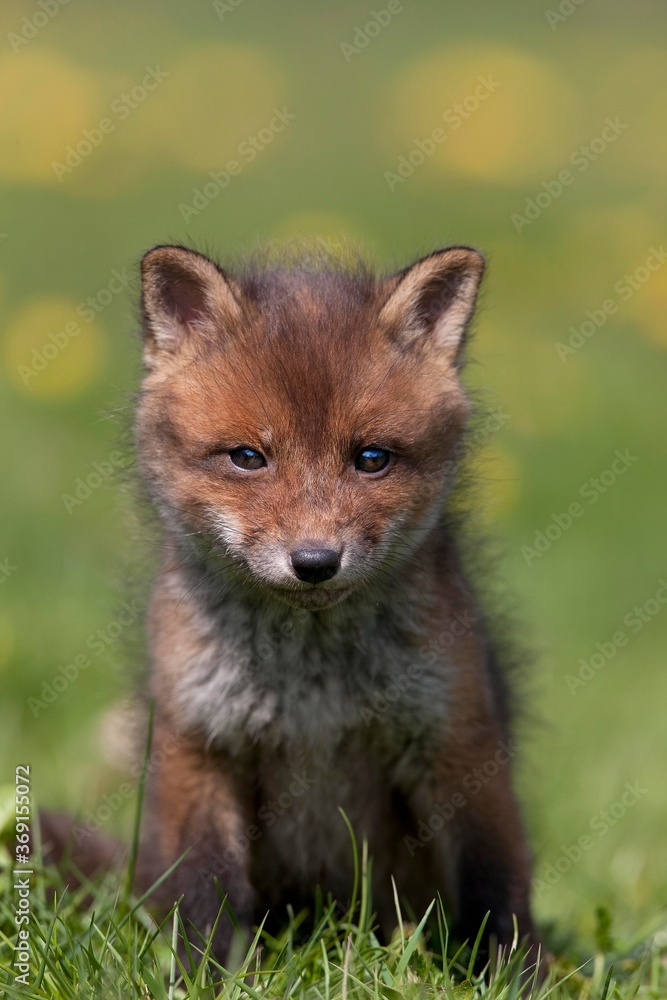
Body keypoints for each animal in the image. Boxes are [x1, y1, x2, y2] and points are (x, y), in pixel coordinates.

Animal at [42, 241, 540, 971]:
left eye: (371, 457)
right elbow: (203, 894)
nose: (314, 562)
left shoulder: (456, 738)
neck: (312, 693)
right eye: (247, 457)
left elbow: (495, 882)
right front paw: (207, 978)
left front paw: (515, 975)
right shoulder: (198, 744)